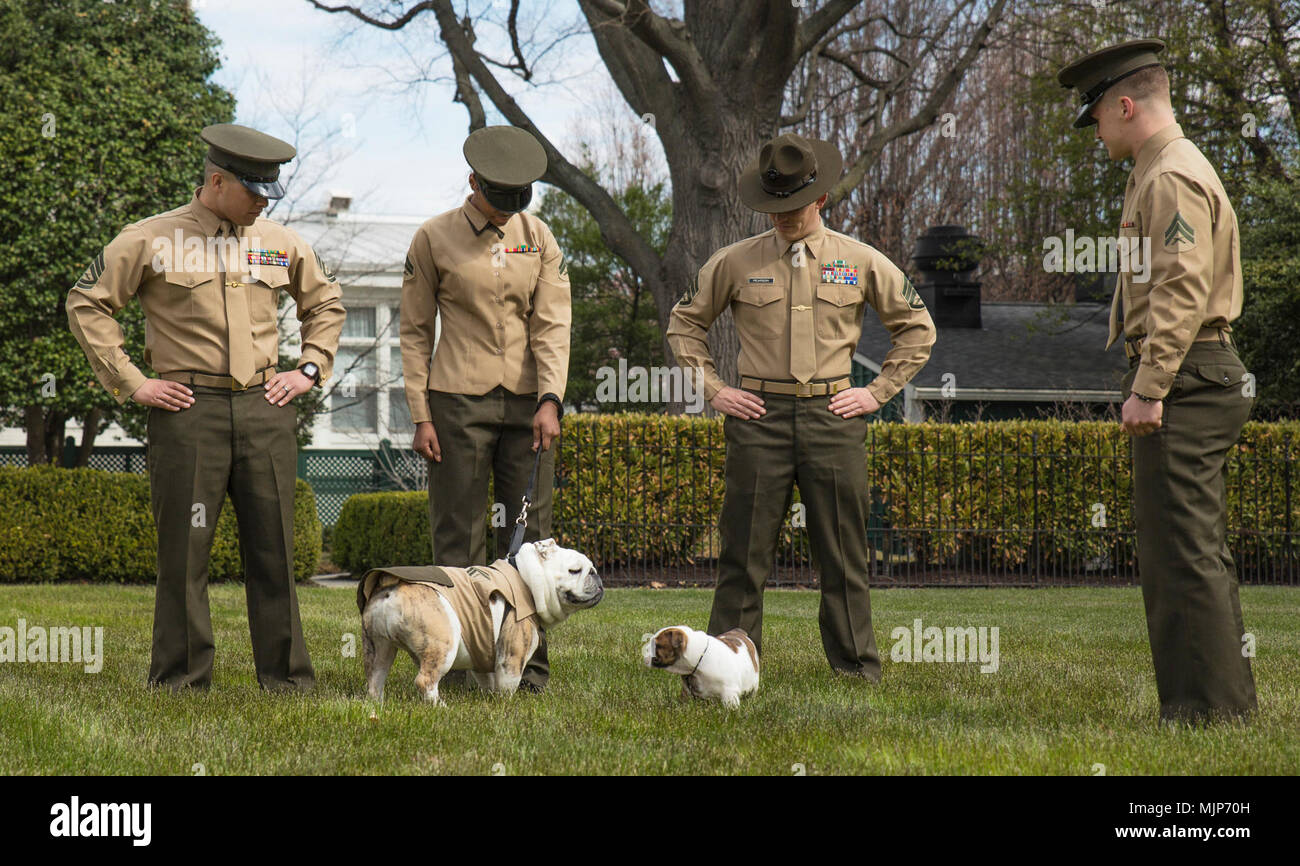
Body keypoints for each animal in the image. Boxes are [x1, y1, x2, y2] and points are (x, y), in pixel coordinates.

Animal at [361, 540, 603, 702]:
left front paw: (489, 698)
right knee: (425, 680)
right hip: (443, 645)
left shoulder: (484, 650)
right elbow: (507, 683)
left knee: (375, 678)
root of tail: (391, 584)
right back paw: (439, 706)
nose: (596, 575)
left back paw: (377, 704)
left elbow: (488, 679)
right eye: (574, 571)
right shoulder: (512, 655)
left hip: (378, 647)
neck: (526, 579)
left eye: (592, 568)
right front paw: (506, 705)